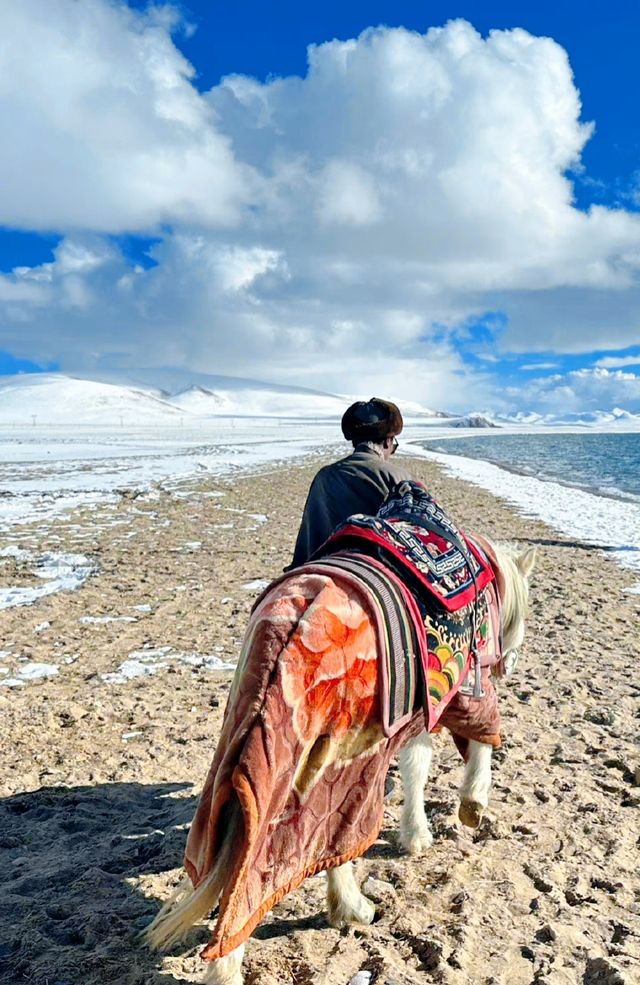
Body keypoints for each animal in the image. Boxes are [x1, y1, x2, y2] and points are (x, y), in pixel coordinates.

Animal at [145, 540, 536, 984]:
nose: (511, 664)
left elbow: (414, 766)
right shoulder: (460, 692)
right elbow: (465, 747)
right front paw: (466, 809)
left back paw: (347, 906)